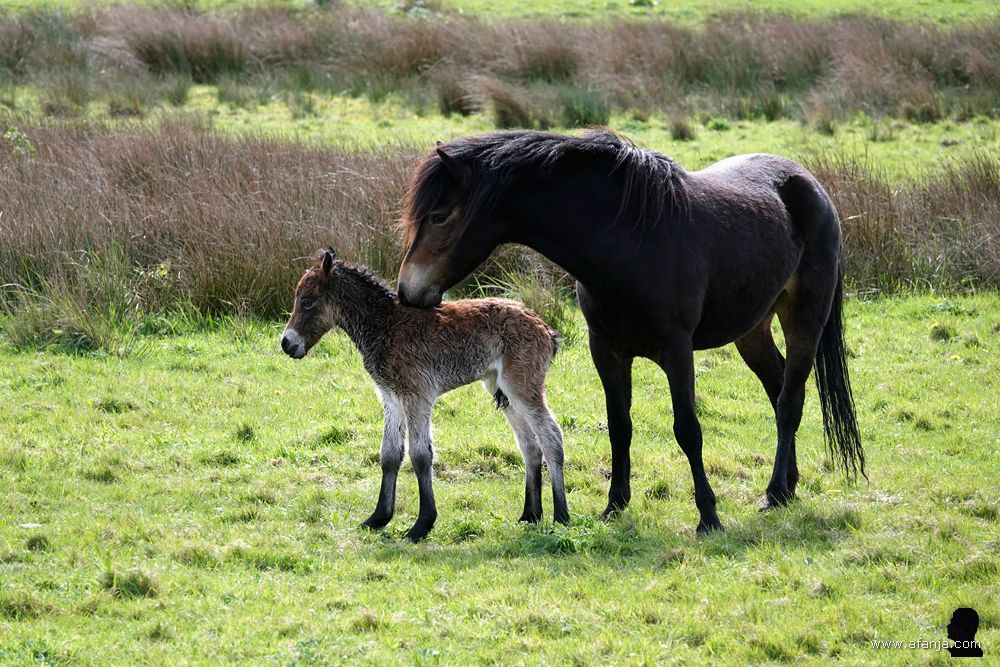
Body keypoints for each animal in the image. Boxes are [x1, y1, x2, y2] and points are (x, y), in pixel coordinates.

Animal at [281, 248, 566, 542]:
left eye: (307, 301)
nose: (287, 343)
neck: (386, 325)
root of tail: (546, 329)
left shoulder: (416, 395)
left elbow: (419, 455)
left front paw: (421, 524)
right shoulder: (391, 398)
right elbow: (390, 454)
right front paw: (378, 518)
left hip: (521, 387)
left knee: (551, 438)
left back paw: (561, 517)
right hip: (502, 390)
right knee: (530, 446)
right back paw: (530, 515)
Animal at [396, 129, 864, 534]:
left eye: (439, 216)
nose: (407, 291)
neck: (630, 242)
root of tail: (810, 185)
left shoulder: (677, 351)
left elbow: (687, 430)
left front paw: (708, 516)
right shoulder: (607, 349)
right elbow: (619, 424)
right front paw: (614, 504)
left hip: (804, 317)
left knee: (789, 401)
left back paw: (773, 492)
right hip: (752, 328)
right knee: (777, 384)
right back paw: (787, 486)